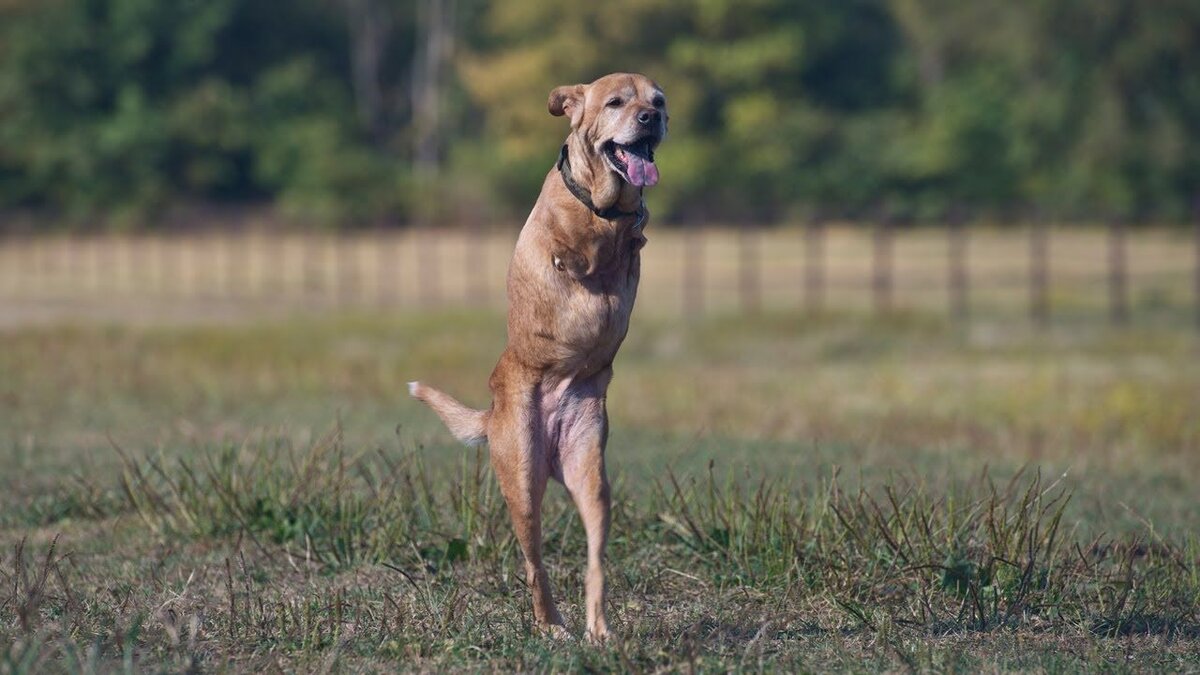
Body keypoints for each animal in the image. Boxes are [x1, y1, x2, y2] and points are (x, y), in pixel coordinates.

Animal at [410, 70, 667, 638]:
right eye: (617, 102)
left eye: (657, 101)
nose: (651, 118)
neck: (604, 204)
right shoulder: (564, 237)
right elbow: (574, 250)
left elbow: (633, 238)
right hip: (522, 482)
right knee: (534, 565)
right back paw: (551, 624)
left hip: (593, 479)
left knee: (594, 563)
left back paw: (598, 629)